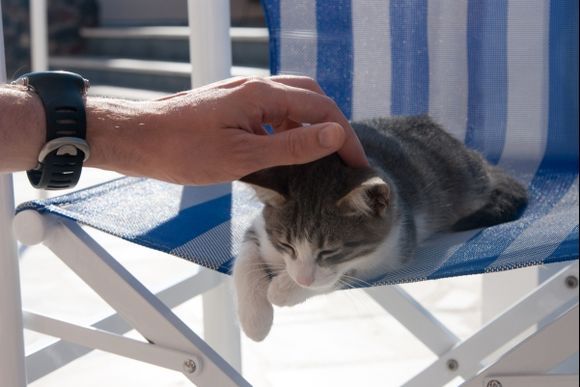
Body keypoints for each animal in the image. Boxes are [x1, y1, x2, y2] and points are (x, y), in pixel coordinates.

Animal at [233, 116, 528, 342]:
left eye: (329, 251)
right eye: (286, 245)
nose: (301, 278)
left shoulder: (394, 246)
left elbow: (337, 277)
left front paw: (283, 290)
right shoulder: (261, 228)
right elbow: (245, 258)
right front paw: (255, 319)